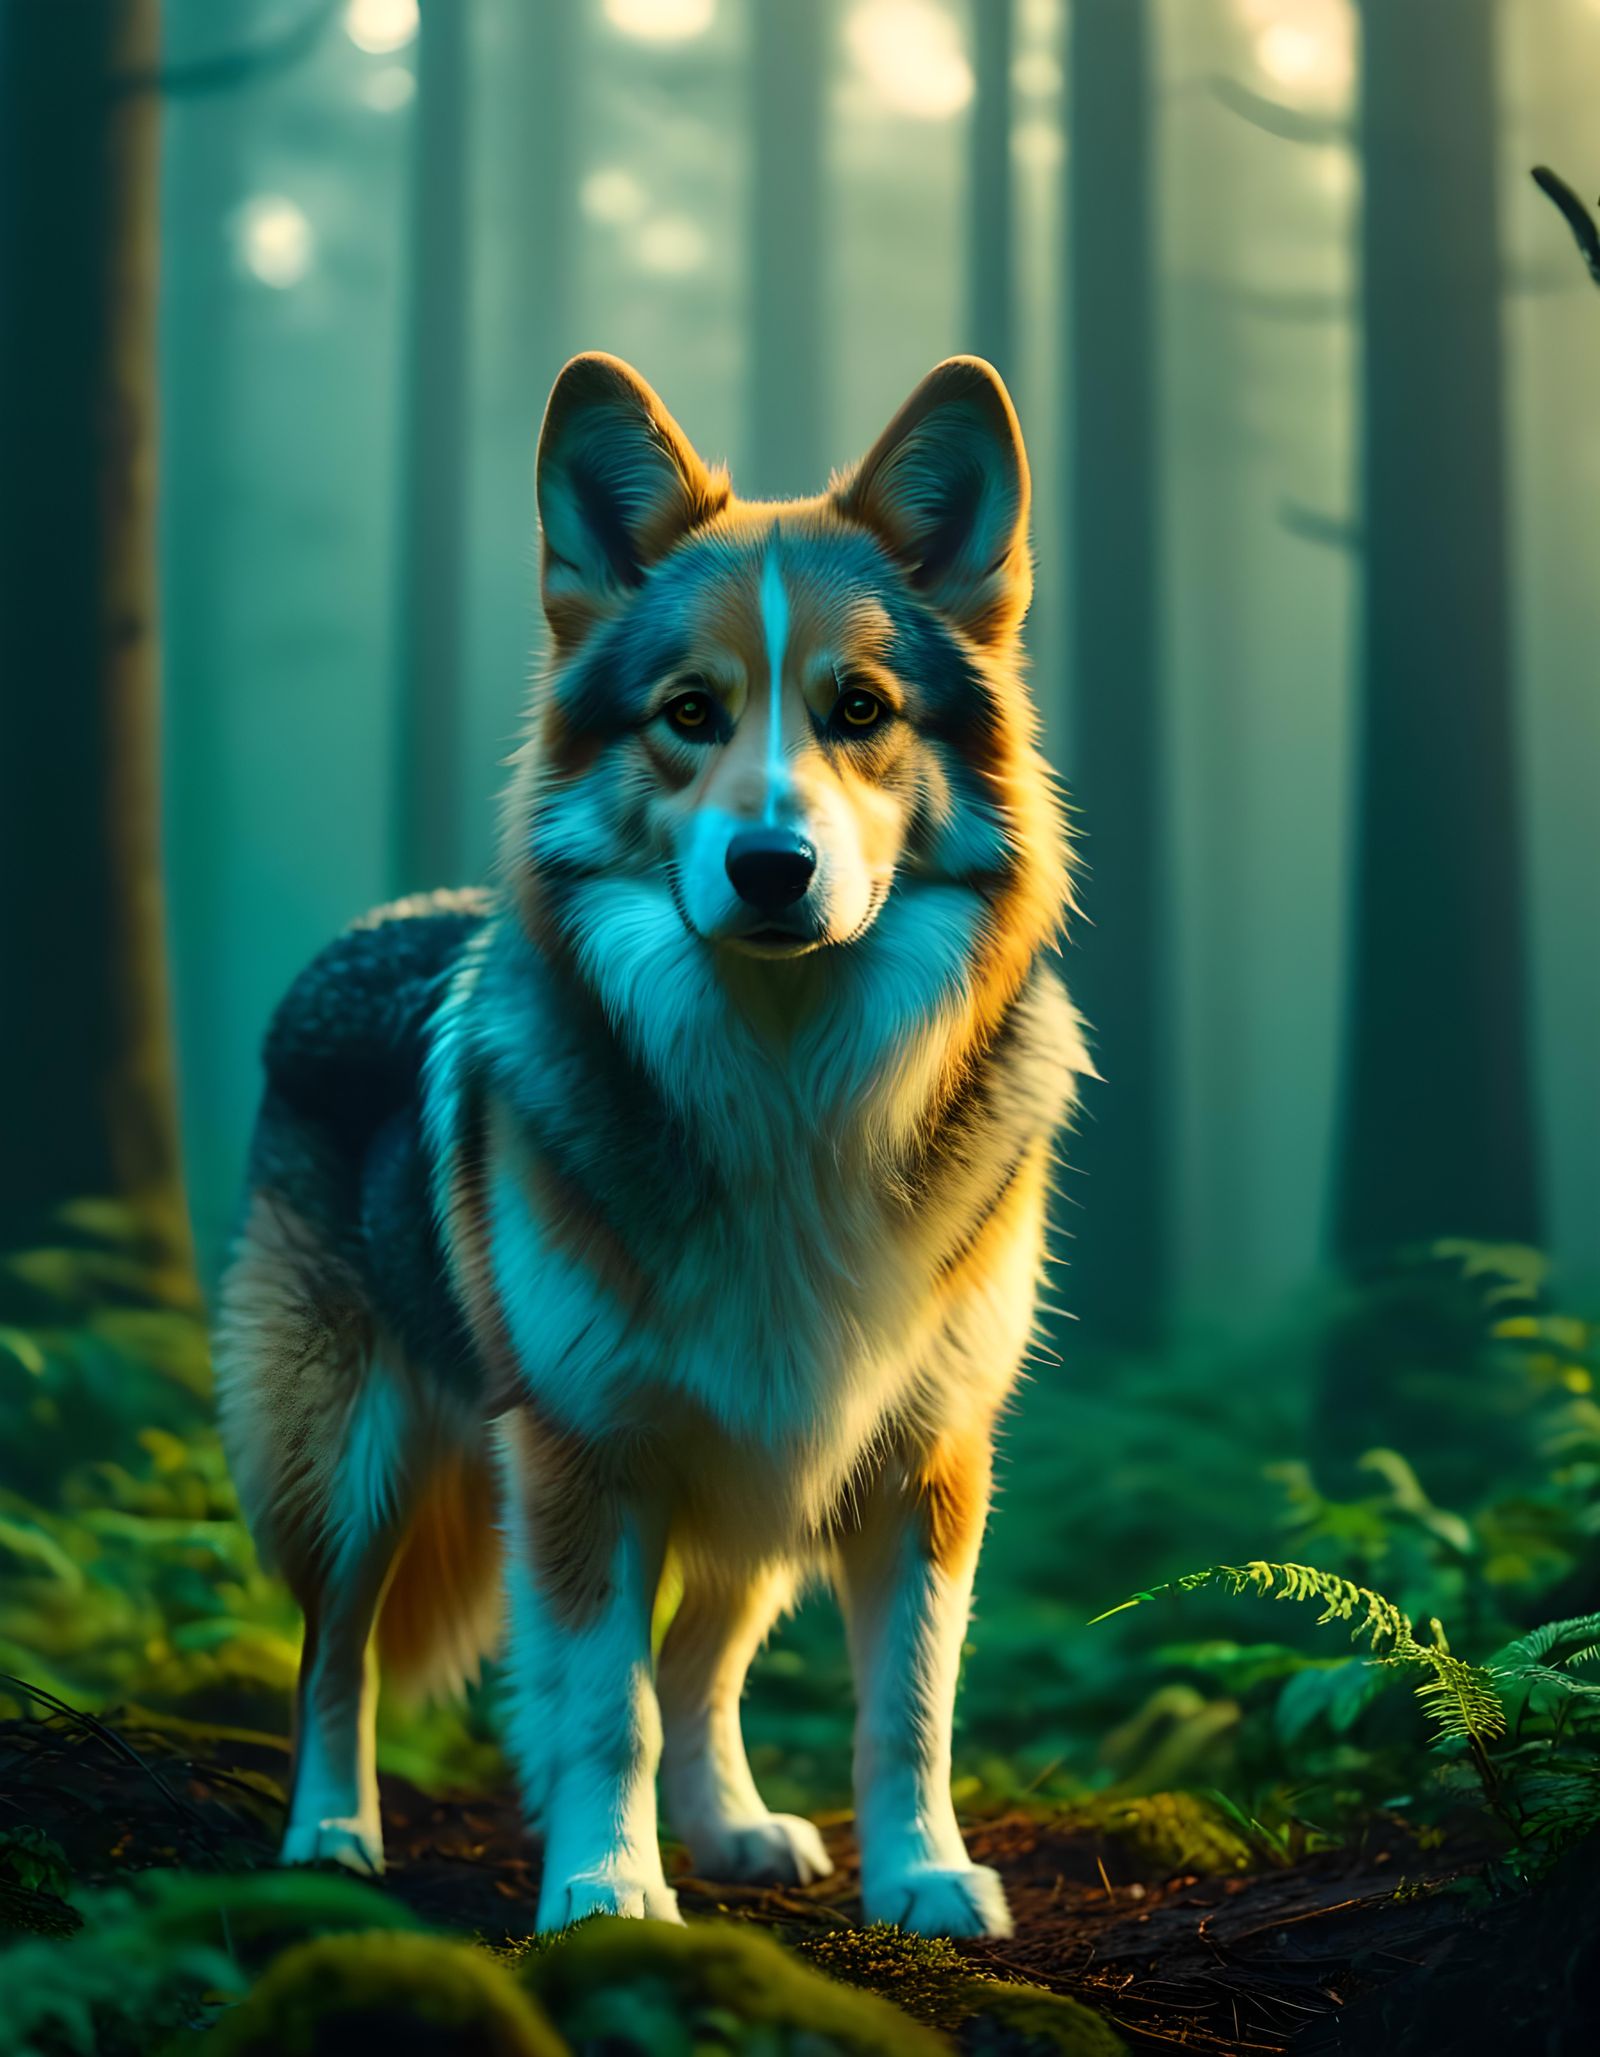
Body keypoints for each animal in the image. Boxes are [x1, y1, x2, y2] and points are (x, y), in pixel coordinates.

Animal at [215, 351, 1087, 1938]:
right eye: (691, 710)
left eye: (859, 707)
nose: (772, 866)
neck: (785, 1082)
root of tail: (373, 925)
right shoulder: (584, 1455)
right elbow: (598, 1703)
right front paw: (608, 1890)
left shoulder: (923, 1457)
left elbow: (908, 1707)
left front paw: (923, 1876)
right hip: (355, 1457)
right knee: (334, 1655)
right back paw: (332, 1836)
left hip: (762, 1471)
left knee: (703, 1659)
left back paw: (732, 1827)